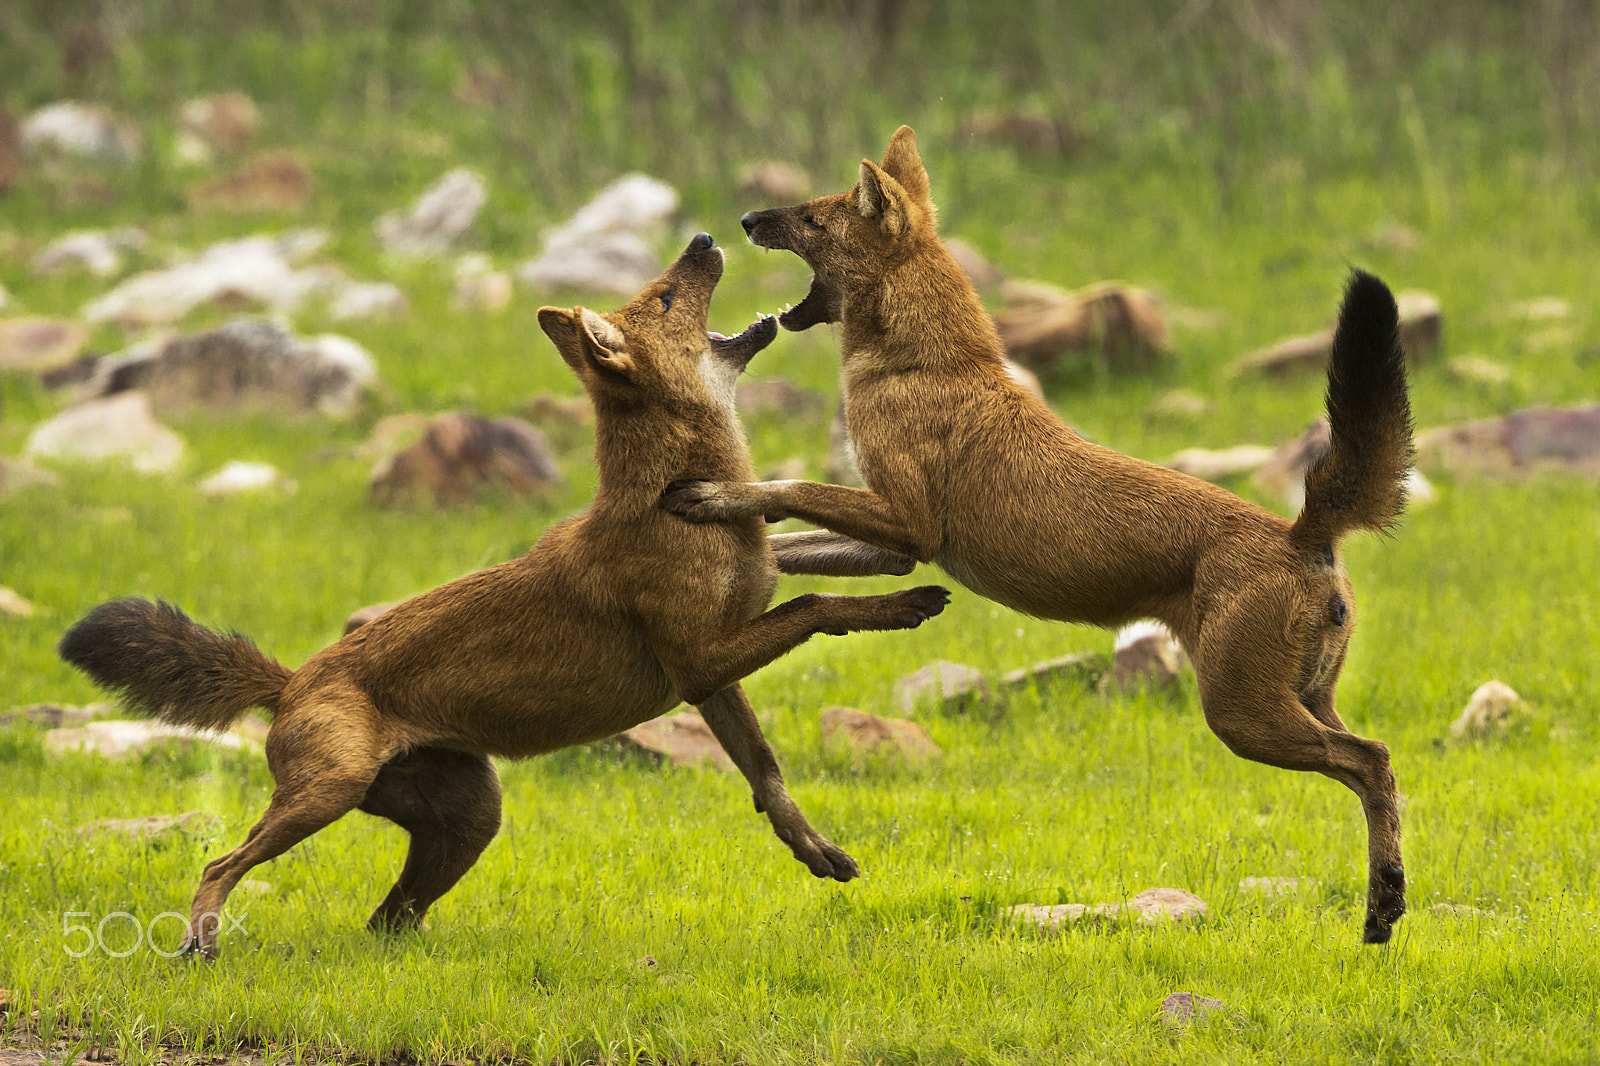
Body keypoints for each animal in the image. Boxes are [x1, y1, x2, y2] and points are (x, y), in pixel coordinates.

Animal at [62, 230, 947, 953]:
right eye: (665, 297)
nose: (703, 236)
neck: (673, 487)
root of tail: (290, 680)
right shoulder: (699, 663)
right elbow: (811, 607)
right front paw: (905, 607)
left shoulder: (713, 674)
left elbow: (767, 763)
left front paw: (813, 849)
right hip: (329, 789)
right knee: (222, 860)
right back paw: (202, 940)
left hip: (469, 815)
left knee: (386, 920)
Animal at [668, 128, 1420, 941]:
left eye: (811, 218)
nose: (747, 219)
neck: (919, 365)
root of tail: (1300, 533)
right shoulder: (895, 547)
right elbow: (792, 548)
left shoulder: (907, 520)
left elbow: (794, 489)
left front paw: (709, 495)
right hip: (1301, 697)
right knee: (1375, 764)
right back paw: (1383, 902)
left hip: (1241, 714)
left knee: (1373, 757)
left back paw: (1385, 901)